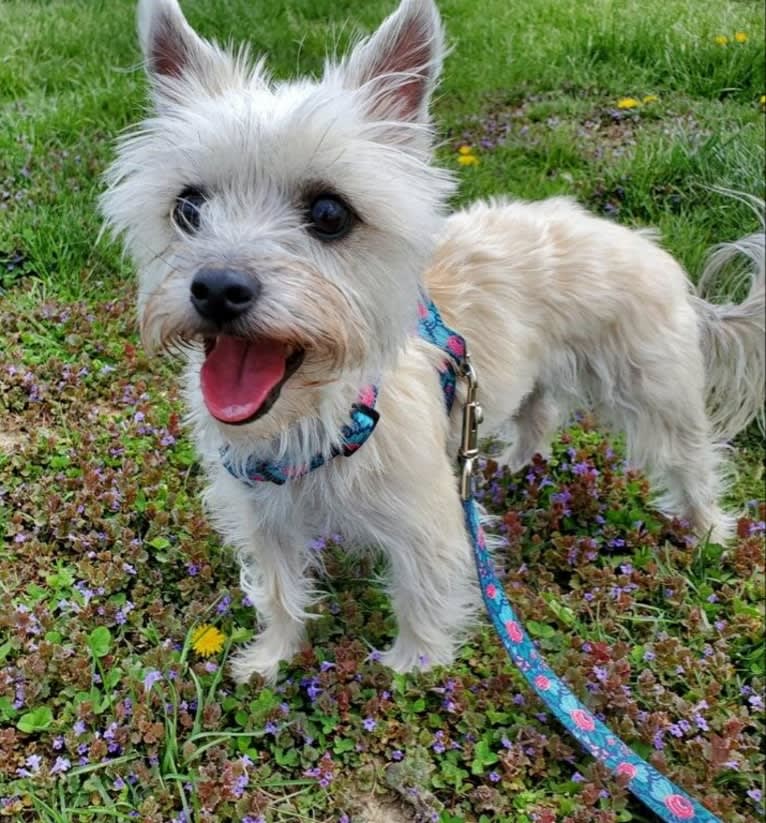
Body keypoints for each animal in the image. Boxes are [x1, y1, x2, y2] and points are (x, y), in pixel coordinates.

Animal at [100, 0, 760, 684]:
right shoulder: (264, 519)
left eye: (330, 214)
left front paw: (409, 671)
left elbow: (420, 597)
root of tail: (647, 247)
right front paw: (272, 659)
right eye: (188, 208)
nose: (218, 287)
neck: (319, 417)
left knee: (692, 460)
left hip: (653, 389)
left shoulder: (426, 526)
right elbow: (281, 591)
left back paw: (709, 533)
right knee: (538, 413)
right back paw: (513, 465)